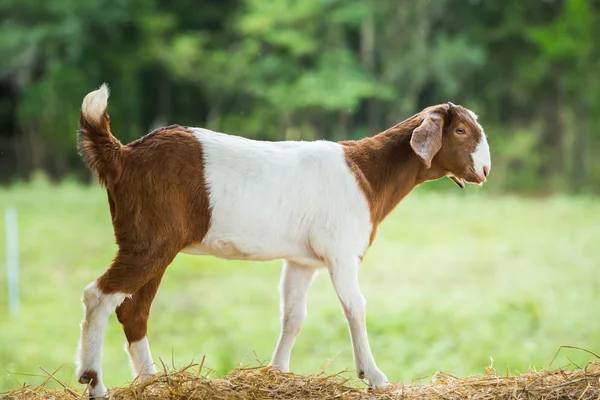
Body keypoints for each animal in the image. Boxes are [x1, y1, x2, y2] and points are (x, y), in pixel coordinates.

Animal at [72, 83, 490, 396]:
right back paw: (94, 381)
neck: (367, 174)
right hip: (148, 241)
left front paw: (278, 371)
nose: (485, 170)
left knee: (133, 310)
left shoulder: (303, 261)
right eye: (460, 131)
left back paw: (150, 381)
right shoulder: (340, 252)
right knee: (99, 295)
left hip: (155, 245)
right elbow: (355, 307)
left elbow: (293, 316)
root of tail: (123, 155)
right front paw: (374, 376)